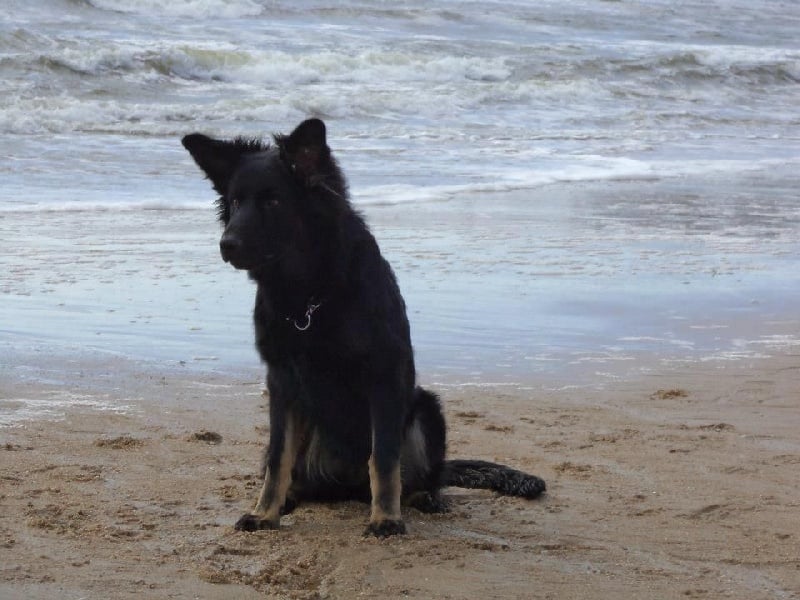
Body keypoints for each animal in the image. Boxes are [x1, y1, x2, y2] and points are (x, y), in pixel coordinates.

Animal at [181, 119, 544, 536]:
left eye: (273, 202)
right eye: (237, 202)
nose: (227, 244)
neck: (308, 295)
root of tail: (345, 486)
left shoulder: (384, 376)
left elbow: (383, 458)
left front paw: (385, 518)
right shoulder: (282, 383)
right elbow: (277, 459)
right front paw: (265, 512)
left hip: (425, 408)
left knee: (420, 475)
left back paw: (422, 497)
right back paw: (291, 498)